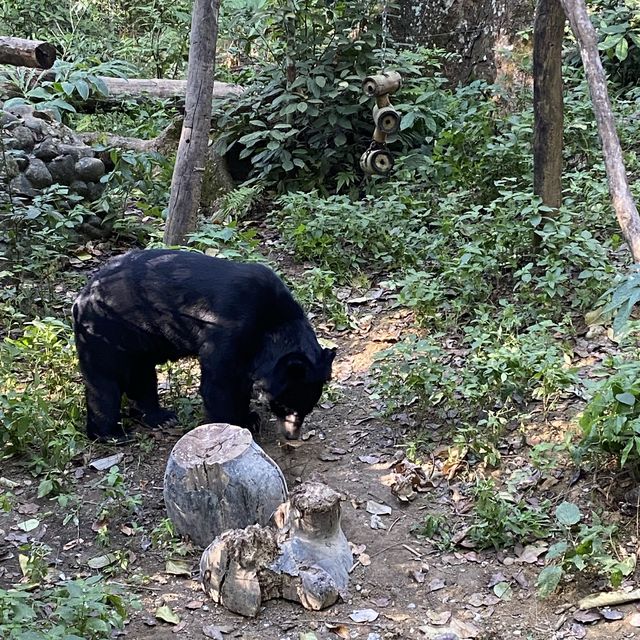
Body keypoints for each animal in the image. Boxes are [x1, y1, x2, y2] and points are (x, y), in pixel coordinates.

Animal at [72, 248, 336, 442]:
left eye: (307, 408)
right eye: (283, 405)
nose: (292, 435)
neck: (273, 328)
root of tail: (81, 296)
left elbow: (239, 382)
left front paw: (249, 417)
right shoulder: (228, 331)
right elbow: (219, 384)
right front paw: (236, 426)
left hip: (138, 343)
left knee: (142, 377)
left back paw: (161, 417)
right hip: (105, 332)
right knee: (104, 383)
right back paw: (112, 434)